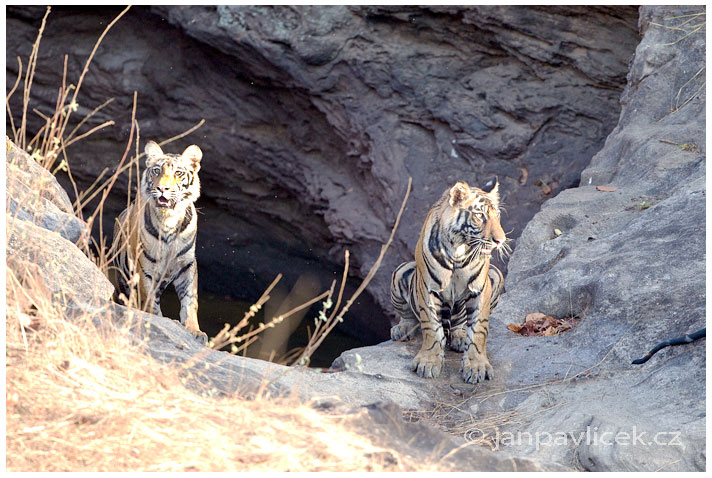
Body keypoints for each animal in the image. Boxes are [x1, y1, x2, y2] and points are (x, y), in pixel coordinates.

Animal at [111, 141, 206, 344]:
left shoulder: (186, 264)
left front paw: (195, 330)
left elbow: (190, 299)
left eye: (178, 173)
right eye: (156, 171)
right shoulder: (147, 266)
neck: (169, 219)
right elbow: (149, 300)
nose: (163, 189)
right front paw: (157, 323)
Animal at [386, 177, 508, 382]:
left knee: (462, 324)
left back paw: (460, 336)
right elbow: (431, 327)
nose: (501, 240)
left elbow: (479, 329)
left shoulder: (481, 288)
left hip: (496, 274)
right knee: (409, 316)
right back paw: (401, 329)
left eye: (497, 216)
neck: (459, 249)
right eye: (480, 216)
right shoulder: (428, 287)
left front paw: (476, 366)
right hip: (401, 271)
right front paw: (428, 362)